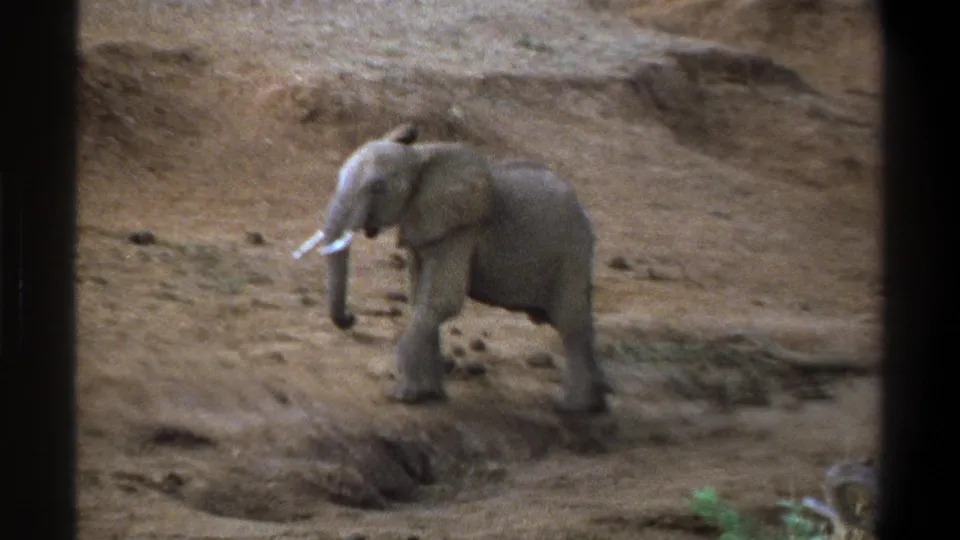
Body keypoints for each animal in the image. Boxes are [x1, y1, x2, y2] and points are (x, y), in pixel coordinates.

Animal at [309, 124, 611, 414]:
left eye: (377, 187)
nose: (351, 318)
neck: (419, 158)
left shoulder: (461, 229)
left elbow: (441, 301)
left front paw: (406, 397)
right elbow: (421, 298)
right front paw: (429, 395)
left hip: (572, 252)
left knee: (570, 322)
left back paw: (572, 408)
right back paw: (598, 401)